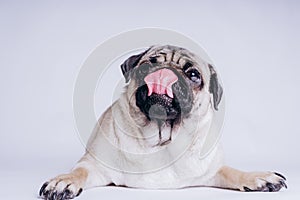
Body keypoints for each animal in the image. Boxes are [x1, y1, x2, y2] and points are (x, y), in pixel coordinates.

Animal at [38, 45, 288, 200]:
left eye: (194, 75)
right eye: (149, 64)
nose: (166, 71)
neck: (161, 137)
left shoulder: (211, 171)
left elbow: (232, 172)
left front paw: (257, 177)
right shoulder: (95, 165)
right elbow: (79, 172)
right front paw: (63, 181)